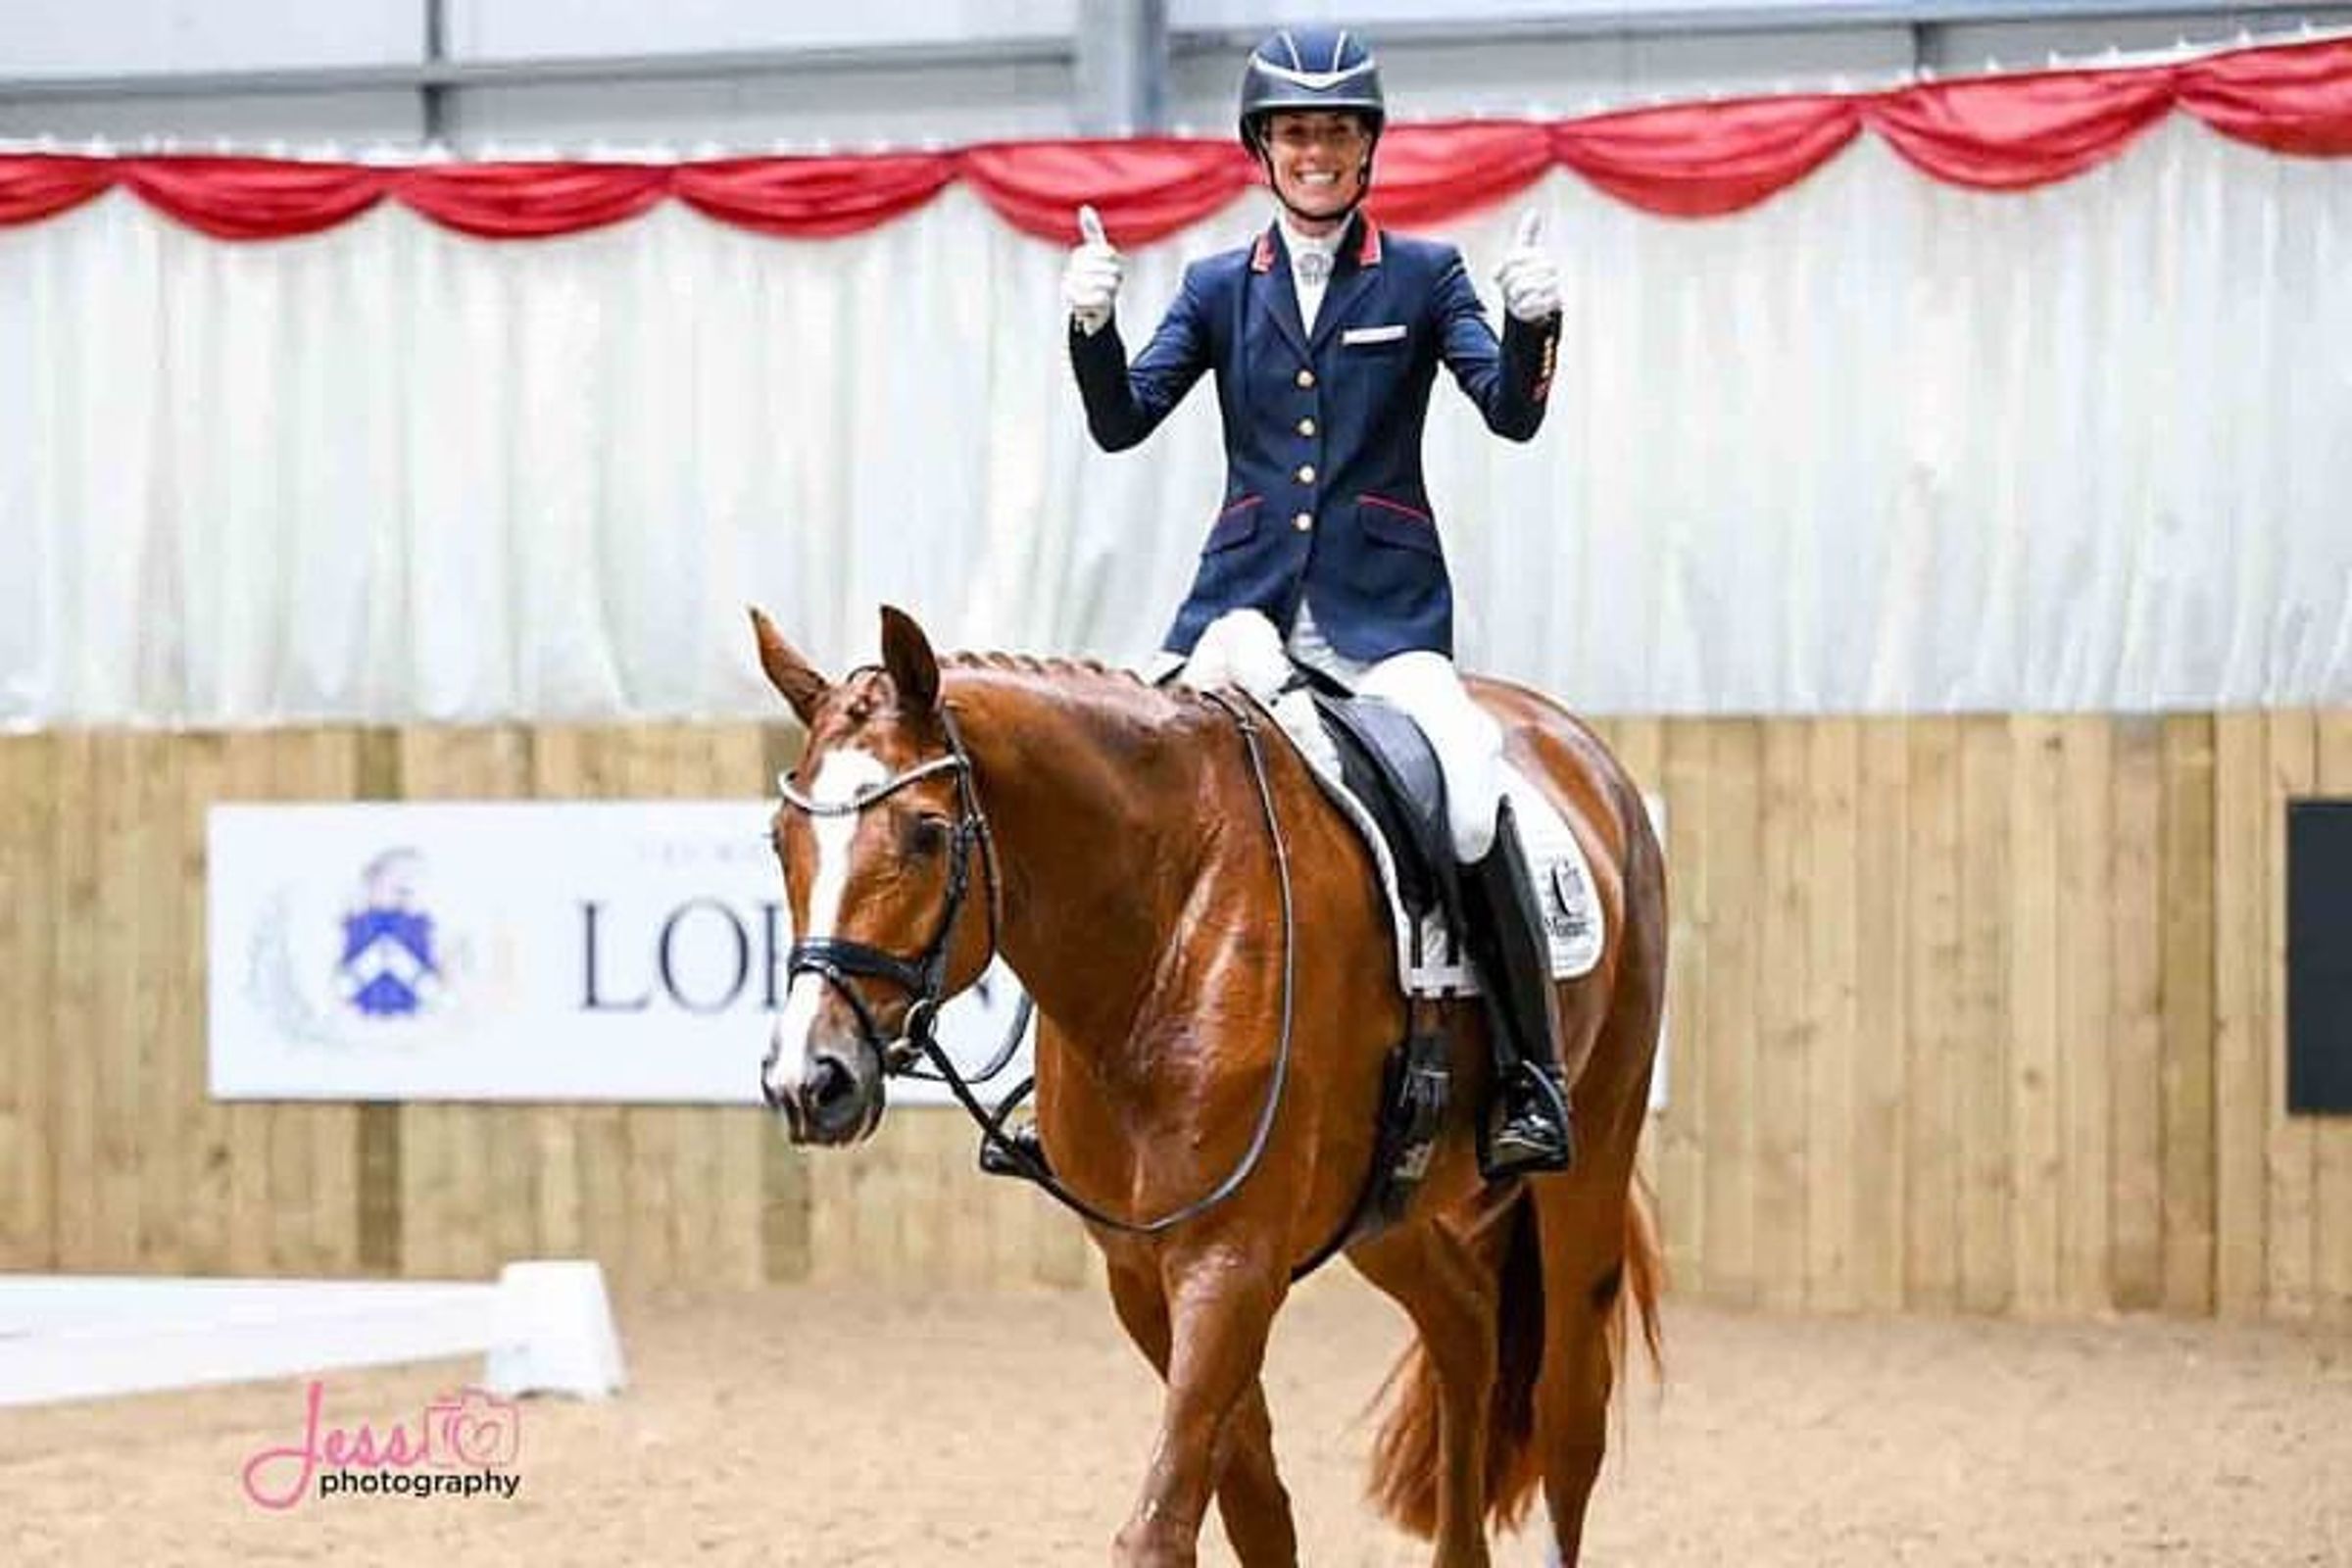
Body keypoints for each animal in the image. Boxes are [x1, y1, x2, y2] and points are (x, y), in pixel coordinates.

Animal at [752, 603, 1665, 1568]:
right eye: (780, 839)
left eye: (926, 831)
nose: (809, 1079)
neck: (1168, 928)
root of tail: (1579, 748)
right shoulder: (1142, 1272)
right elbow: (1253, 1503)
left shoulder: (1230, 1261)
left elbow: (1160, 1525)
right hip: (1384, 1207)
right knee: (1462, 1319)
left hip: (1590, 1163)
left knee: (1571, 1415)